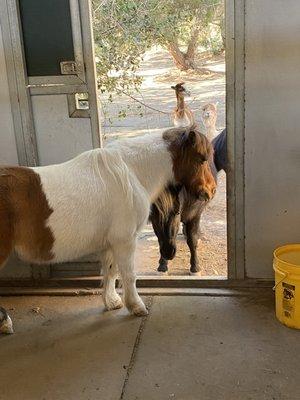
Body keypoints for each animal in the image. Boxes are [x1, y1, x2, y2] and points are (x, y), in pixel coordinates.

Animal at [0, 126, 216, 332]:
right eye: (202, 158)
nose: (211, 190)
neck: (131, 172)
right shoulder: (125, 241)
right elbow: (129, 274)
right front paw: (136, 306)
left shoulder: (111, 243)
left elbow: (111, 271)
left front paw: (112, 302)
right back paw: (5, 322)